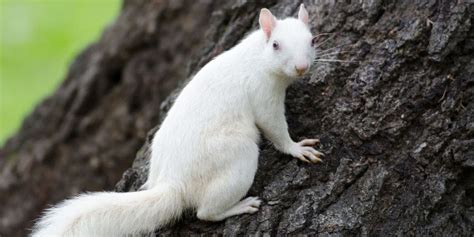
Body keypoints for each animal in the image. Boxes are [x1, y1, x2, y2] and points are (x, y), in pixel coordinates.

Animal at [32, 4, 322, 237]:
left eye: (312, 41)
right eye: (276, 45)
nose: (301, 68)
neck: (257, 56)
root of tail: (173, 184)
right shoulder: (262, 93)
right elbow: (274, 126)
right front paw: (297, 148)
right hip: (237, 157)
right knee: (205, 212)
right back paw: (238, 206)